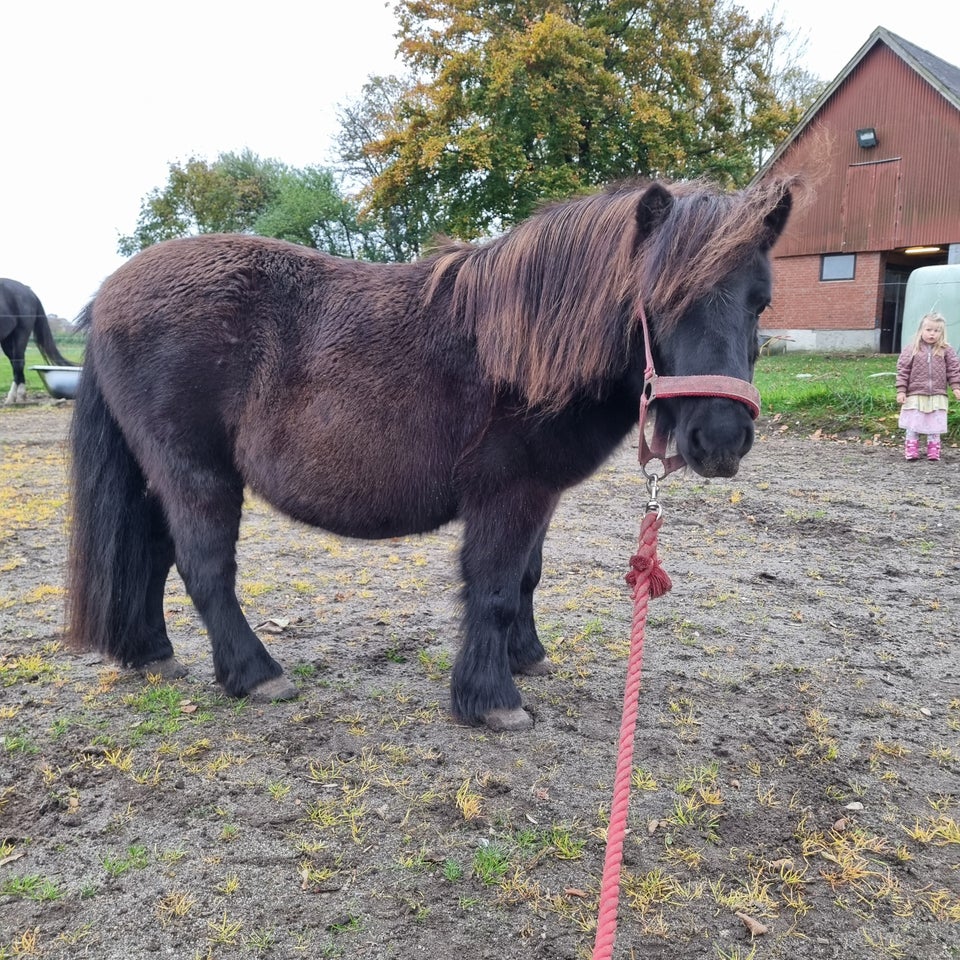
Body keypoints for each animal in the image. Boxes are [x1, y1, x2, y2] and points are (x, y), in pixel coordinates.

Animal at [1, 276, 77, 404]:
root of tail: (29, 291)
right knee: (16, 364)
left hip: (21, 333)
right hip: (7, 339)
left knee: (18, 363)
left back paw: (17, 397)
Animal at [69, 178, 796, 728]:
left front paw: (526, 655)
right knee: (205, 568)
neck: (523, 349)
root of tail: (108, 294)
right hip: (197, 472)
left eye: (761, 302)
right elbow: (495, 587)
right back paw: (256, 674)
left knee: (152, 553)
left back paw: (152, 652)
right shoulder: (508, 494)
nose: (721, 439)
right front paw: (493, 701)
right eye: (660, 300)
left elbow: (527, 577)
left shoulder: (539, 495)